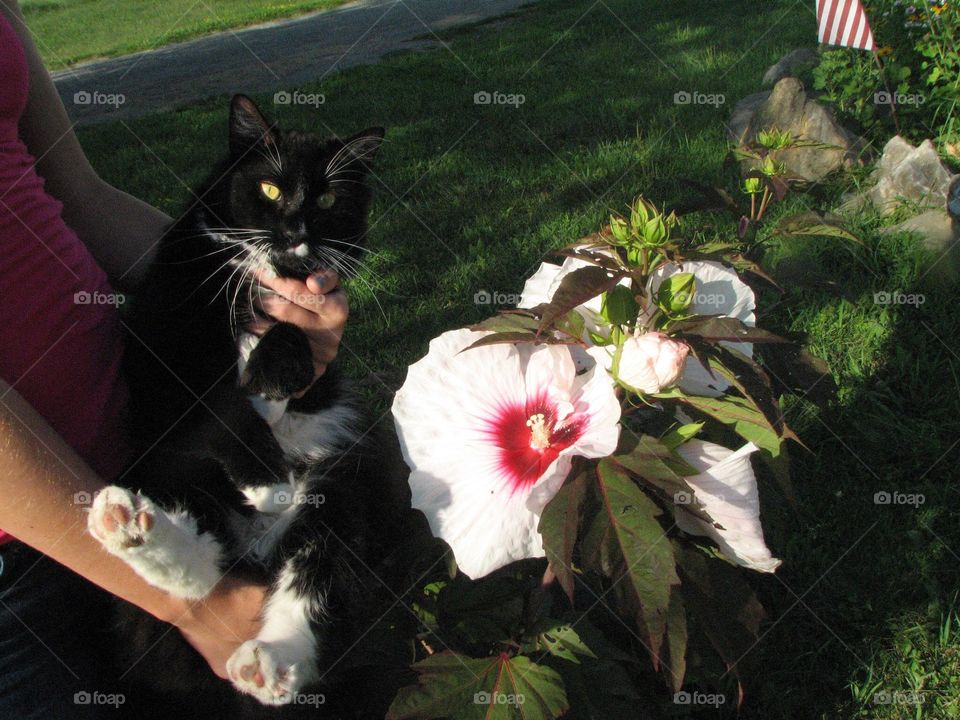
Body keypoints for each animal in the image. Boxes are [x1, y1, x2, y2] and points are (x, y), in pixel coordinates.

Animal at [84, 94, 410, 716]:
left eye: (327, 199)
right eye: (270, 188)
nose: (297, 228)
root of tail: (259, 543)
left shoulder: (318, 336)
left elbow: (292, 343)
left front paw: (273, 378)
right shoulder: (166, 348)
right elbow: (222, 406)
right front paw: (262, 463)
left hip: (348, 480)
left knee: (314, 573)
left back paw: (268, 661)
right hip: (166, 465)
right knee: (200, 577)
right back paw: (131, 523)